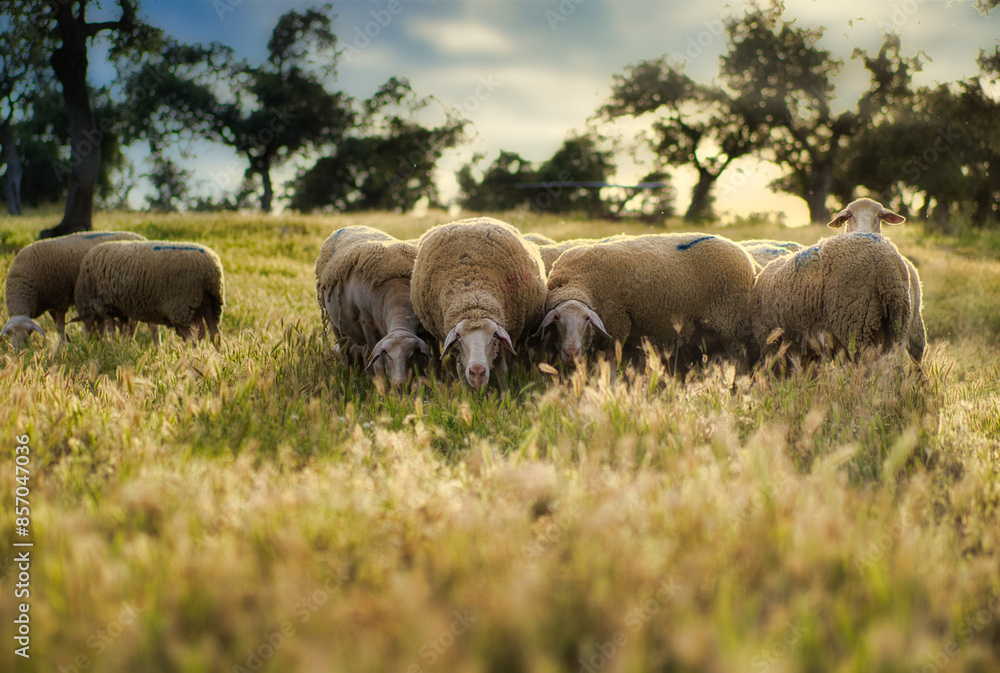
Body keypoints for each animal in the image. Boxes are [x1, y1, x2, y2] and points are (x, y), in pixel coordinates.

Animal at [2, 231, 146, 348]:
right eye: (9, 333)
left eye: (29, 331)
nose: (18, 351)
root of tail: (141, 237)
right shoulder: (51, 303)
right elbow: (58, 325)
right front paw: (68, 341)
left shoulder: (60, 299)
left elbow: (60, 327)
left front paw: (64, 345)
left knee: (133, 321)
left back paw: (130, 339)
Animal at [74, 240, 225, 345]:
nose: (90, 341)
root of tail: (209, 268)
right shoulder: (120, 309)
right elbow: (124, 329)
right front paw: (123, 344)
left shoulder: (106, 306)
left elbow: (112, 330)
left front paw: (113, 344)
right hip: (212, 302)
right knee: (215, 335)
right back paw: (219, 358)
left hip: (183, 307)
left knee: (192, 339)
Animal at [315, 225, 432, 390]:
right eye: (387, 354)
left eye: (412, 354)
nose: (400, 385)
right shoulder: (367, 323)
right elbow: (376, 360)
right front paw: (380, 384)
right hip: (335, 325)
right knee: (346, 352)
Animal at [410, 217, 547, 391]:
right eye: (459, 336)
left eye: (493, 335)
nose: (477, 372)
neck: (473, 296)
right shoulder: (455, 347)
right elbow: (461, 371)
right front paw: (466, 394)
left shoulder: (505, 338)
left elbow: (502, 370)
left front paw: (505, 392)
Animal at [537, 233, 758, 375]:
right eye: (556, 320)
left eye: (586, 320)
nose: (571, 354)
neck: (577, 283)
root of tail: (745, 255)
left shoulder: (616, 331)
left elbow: (610, 371)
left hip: (731, 325)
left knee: (741, 362)